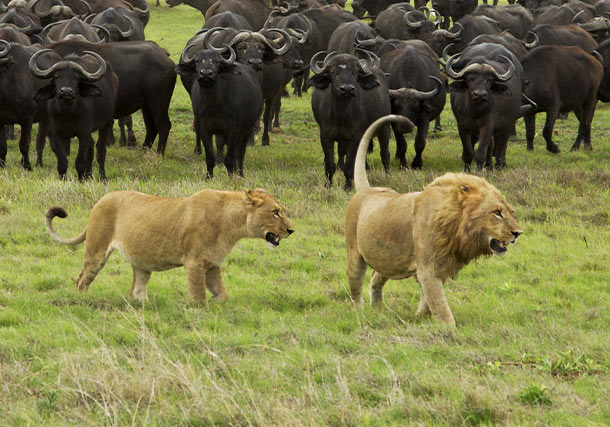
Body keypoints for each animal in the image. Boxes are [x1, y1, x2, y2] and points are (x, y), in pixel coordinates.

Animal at [46, 189, 294, 302]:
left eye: (281, 211)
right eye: (275, 212)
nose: (291, 230)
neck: (233, 225)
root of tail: (101, 199)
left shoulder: (213, 265)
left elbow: (222, 294)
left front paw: (216, 303)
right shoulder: (194, 262)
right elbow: (198, 297)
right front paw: (200, 310)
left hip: (141, 262)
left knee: (137, 289)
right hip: (96, 251)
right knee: (81, 279)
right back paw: (82, 299)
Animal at [344, 113, 520, 328]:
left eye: (510, 212)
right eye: (496, 213)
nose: (518, 233)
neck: (458, 229)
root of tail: (366, 189)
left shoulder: (441, 267)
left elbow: (428, 301)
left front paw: (420, 317)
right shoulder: (429, 270)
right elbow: (440, 306)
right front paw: (449, 330)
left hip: (388, 258)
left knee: (376, 277)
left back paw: (379, 309)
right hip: (355, 255)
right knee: (356, 286)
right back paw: (360, 313)